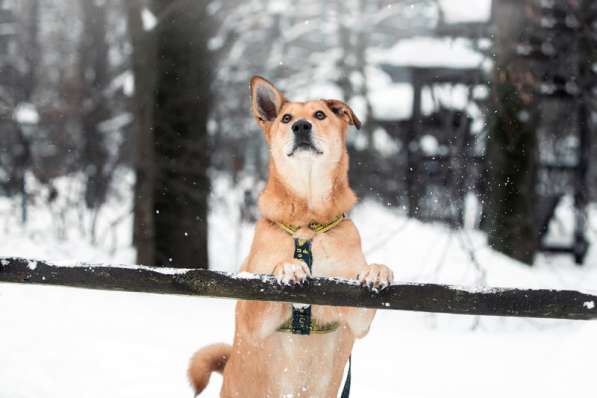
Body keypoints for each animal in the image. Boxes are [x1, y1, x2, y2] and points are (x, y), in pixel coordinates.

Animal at [189, 76, 394, 396]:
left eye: (320, 114)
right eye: (286, 118)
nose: (301, 126)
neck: (308, 224)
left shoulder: (354, 316)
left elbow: (365, 287)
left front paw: (377, 271)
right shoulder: (251, 311)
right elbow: (274, 276)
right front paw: (289, 267)